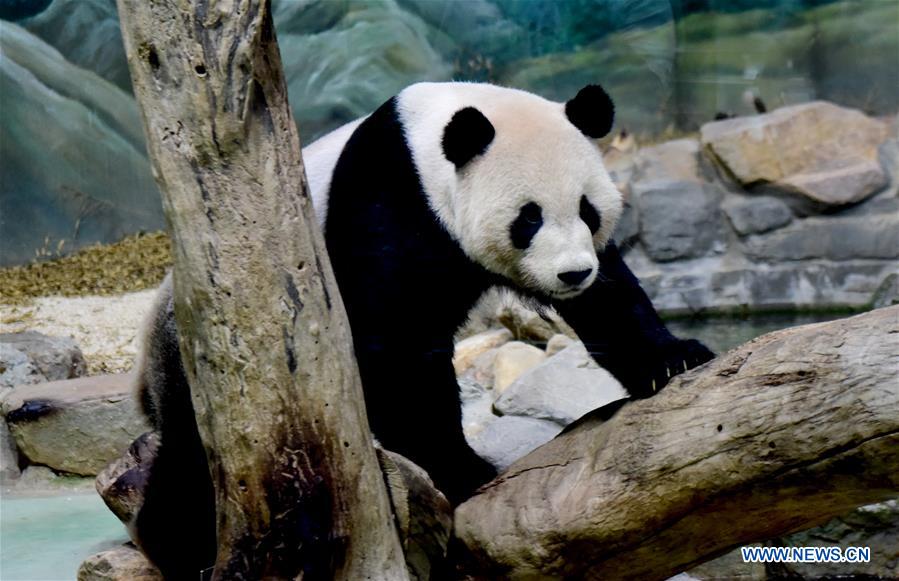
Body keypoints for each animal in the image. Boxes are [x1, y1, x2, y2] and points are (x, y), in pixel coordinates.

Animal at [134, 81, 716, 576]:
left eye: (587, 210)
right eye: (528, 217)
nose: (572, 273)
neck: (427, 150)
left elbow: (611, 298)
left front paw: (675, 358)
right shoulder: (385, 205)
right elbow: (395, 351)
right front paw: (462, 469)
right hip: (208, 363)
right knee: (192, 453)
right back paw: (178, 547)